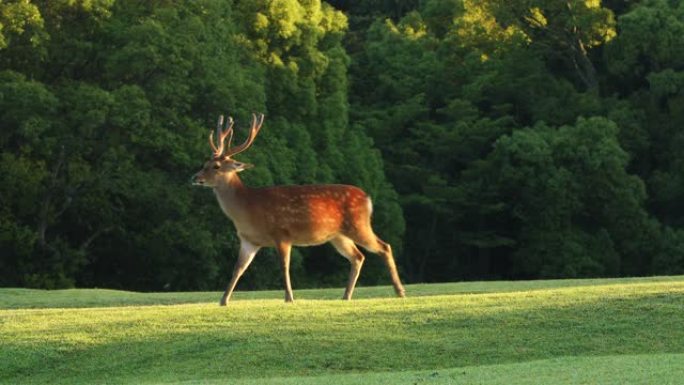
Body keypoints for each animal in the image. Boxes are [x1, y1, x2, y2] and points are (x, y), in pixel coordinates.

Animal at [191, 112, 406, 304]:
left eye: (216, 166)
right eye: (205, 163)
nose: (195, 177)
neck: (248, 208)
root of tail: (367, 198)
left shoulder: (281, 233)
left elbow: (284, 266)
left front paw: (289, 298)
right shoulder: (248, 241)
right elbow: (238, 269)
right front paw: (223, 300)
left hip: (358, 224)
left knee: (384, 247)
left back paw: (399, 291)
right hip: (338, 235)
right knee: (358, 256)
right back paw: (346, 296)